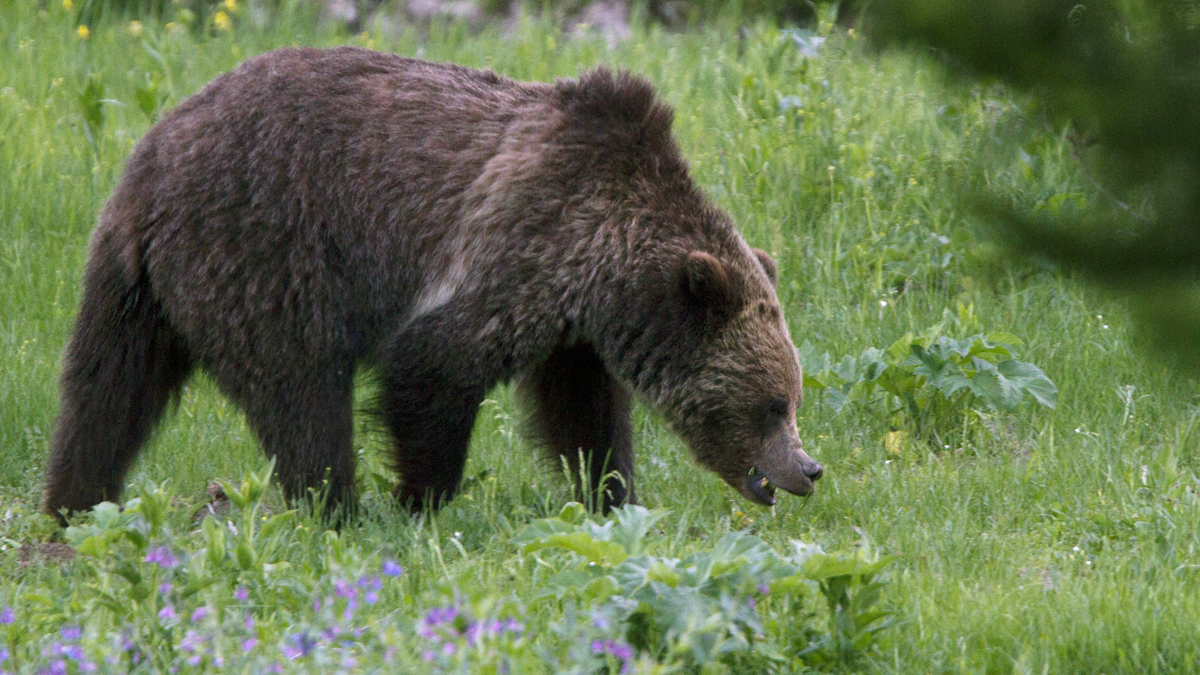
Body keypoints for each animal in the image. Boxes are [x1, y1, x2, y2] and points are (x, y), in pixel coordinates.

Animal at [42, 47, 823, 524]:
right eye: (771, 403)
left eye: (791, 397)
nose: (808, 468)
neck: (607, 263)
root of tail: (148, 166)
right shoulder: (520, 241)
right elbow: (432, 364)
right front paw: (422, 500)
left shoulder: (572, 326)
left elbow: (582, 412)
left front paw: (611, 495)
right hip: (263, 252)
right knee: (302, 394)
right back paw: (337, 508)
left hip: (137, 290)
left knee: (105, 395)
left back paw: (72, 507)